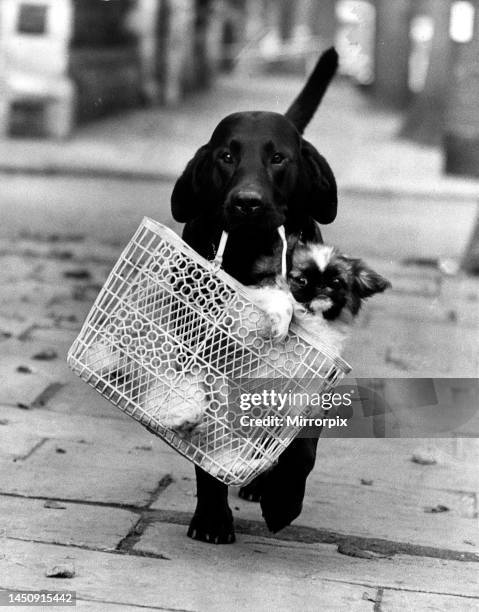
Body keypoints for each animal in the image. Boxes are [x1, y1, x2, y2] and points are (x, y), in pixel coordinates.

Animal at [171, 49, 340, 544]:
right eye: (227, 156)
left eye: (278, 158)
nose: (247, 202)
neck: (252, 255)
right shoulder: (203, 357)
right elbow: (207, 444)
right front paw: (212, 516)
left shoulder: (312, 366)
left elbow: (302, 447)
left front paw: (282, 500)